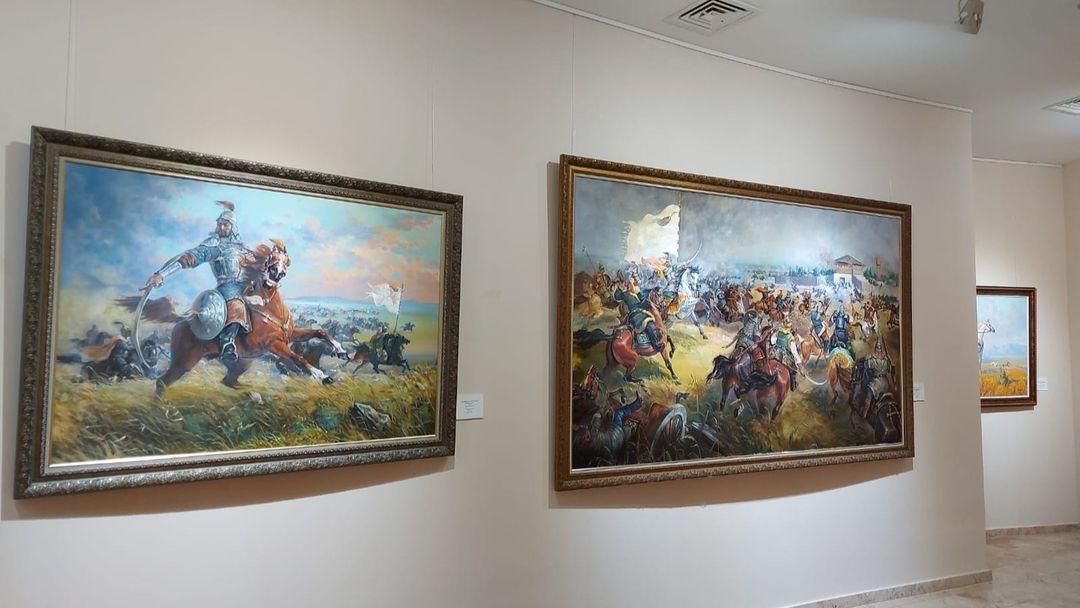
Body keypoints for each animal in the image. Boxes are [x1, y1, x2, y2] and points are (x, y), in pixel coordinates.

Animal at [153, 240, 348, 398]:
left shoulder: (292, 334)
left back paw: (255, 394)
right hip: (184, 362)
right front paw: (322, 376)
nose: (276, 273)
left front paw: (341, 351)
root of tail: (182, 320)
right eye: (271, 258)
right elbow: (298, 358)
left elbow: (319, 331)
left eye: (286, 261)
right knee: (162, 382)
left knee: (228, 381)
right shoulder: (275, 345)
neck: (270, 309)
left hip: (241, 362)